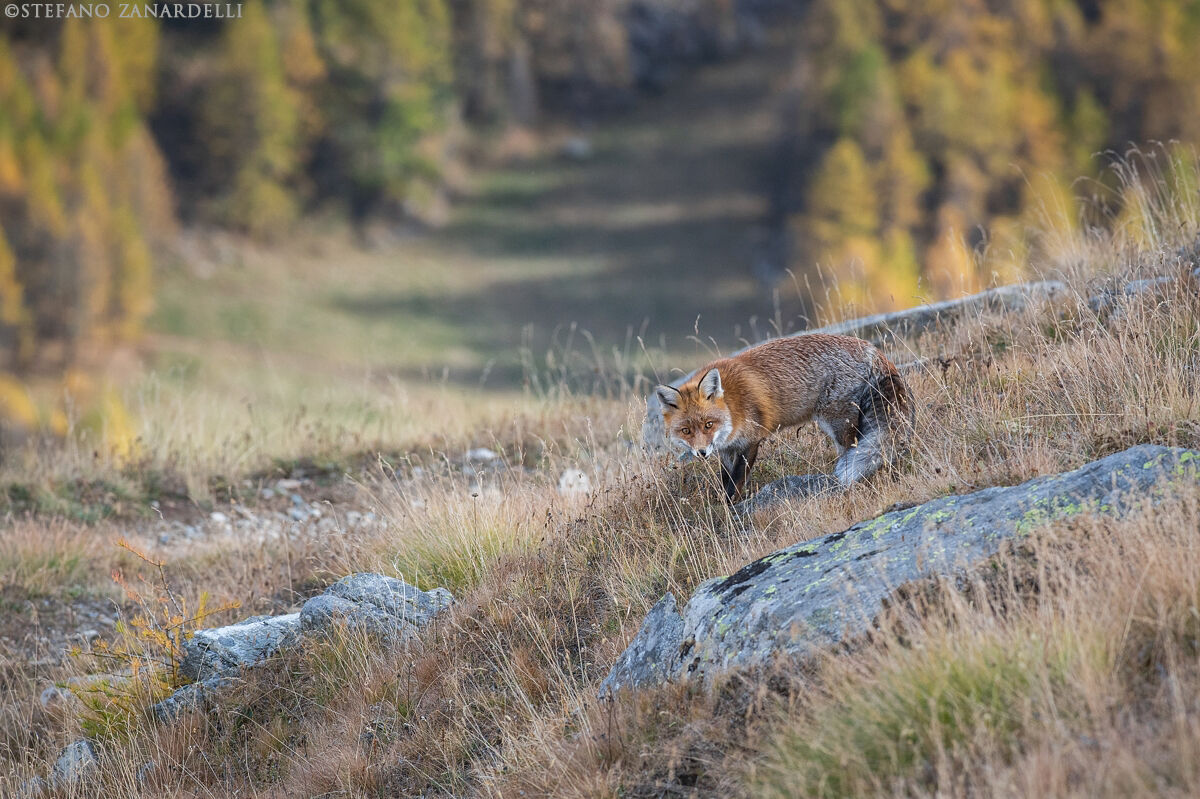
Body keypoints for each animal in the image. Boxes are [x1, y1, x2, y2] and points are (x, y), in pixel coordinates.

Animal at [655, 334, 913, 501]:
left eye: (708, 424)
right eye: (686, 431)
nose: (701, 453)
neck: (733, 405)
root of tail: (872, 350)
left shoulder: (751, 441)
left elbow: (736, 482)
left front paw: (730, 509)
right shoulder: (727, 449)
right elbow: (726, 480)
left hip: (838, 425)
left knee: (852, 453)